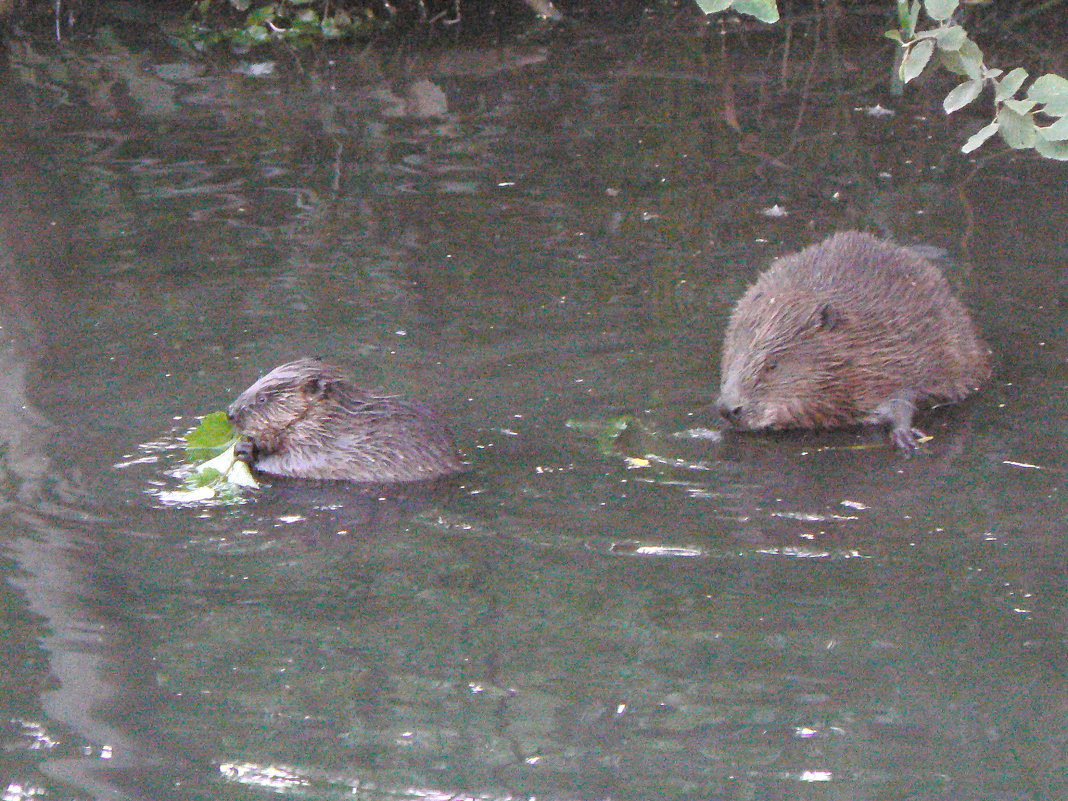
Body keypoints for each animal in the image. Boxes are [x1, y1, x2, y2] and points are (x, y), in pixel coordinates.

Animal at [227, 358, 465, 482]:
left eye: (262, 398)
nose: (230, 413)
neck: (330, 422)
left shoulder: (322, 448)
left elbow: (292, 465)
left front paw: (246, 449)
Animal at [717, 233, 991, 452]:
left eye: (772, 364)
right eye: (732, 358)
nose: (728, 408)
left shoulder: (900, 353)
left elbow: (905, 397)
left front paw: (906, 436)